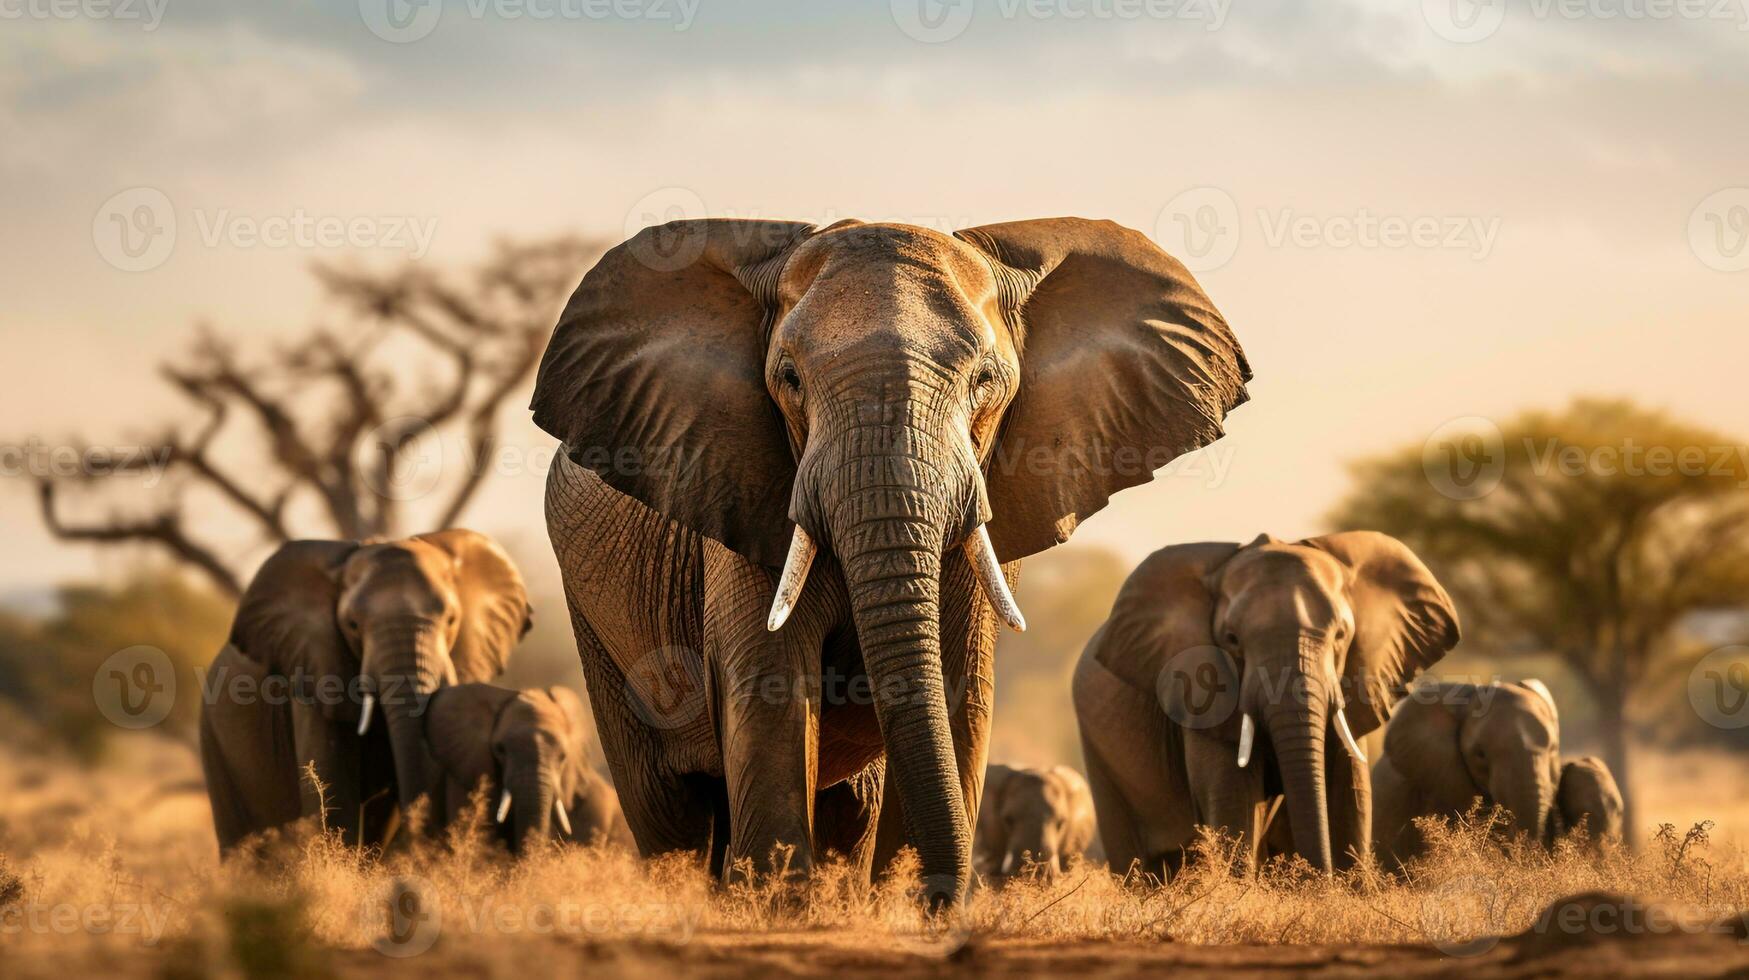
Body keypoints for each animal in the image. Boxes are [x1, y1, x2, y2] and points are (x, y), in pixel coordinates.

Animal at [524, 217, 1252, 910]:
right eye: (789, 379)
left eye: (985, 381)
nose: (938, 900)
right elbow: (771, 688)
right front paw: (786, 910)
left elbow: (959, 691)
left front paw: (901, 906)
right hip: (594, 619)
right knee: (669, 810)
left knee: (850, 805)